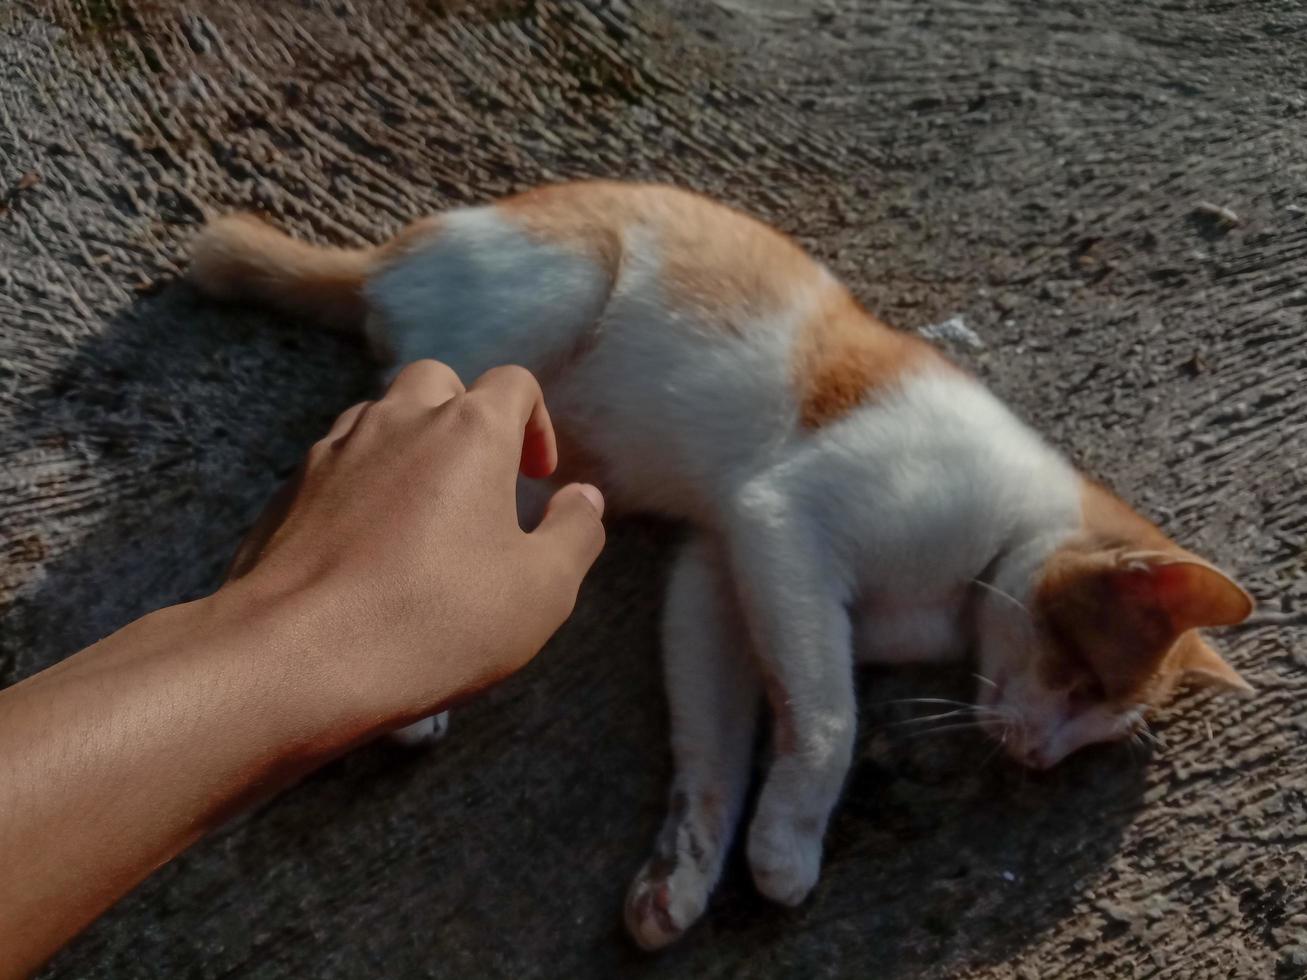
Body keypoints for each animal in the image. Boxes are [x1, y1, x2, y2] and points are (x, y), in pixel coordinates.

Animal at [186, 182, 1254, 951]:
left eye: (1096, 726)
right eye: (1081, 680)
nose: (1036, 760)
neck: (991, 541)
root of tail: (392, 254)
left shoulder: (719, 572)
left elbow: (713, 748)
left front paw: (684, 874)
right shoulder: (780, 524)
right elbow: (826, 718)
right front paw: (789, 845)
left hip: (535, 477)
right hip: (536, 327)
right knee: (315, 503)